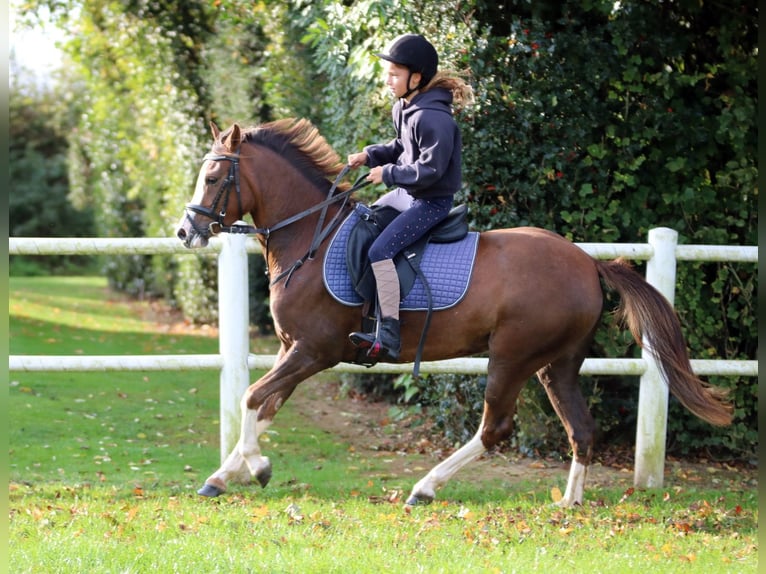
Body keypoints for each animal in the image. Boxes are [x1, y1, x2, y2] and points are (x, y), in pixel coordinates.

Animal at [175, 117, 731, 507]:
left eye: (213, 177)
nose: (186, 232)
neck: (313, 238)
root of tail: (588, 262)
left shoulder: (315, 351)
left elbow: (251, 398)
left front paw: (257, 469)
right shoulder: (294, 350)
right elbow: (265, 406)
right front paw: (223, 476)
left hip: (511, 359)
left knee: (495, 428)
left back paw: (424, 488)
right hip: (557, 365)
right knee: (581, 429)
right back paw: (568, 504)